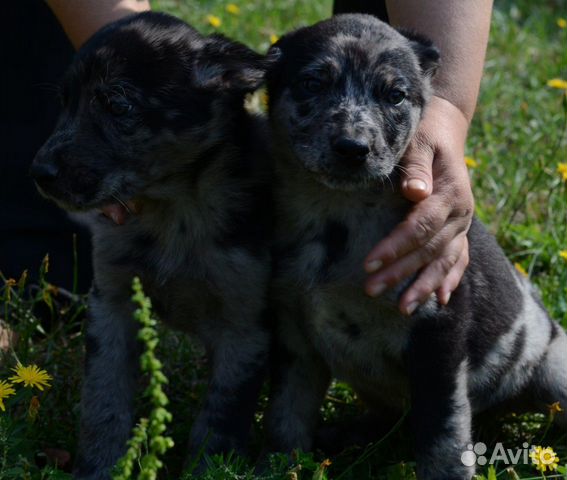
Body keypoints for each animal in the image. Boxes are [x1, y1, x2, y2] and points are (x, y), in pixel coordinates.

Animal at [31, 12, 276, 480]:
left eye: (118, 105)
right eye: (65, 102)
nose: (40, 173)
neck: (173, 210)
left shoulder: (246, 328)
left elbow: (218, 421)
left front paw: (205, 470)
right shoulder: (111, 303)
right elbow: (103, 401)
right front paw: (99, 467)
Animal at [266, 13, 567, 478]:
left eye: (394, 95)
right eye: (312, 83)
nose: (353, 148)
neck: (341, 218)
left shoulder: (437, 333)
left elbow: (443, 432)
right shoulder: (293, 332)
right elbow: (288, 412)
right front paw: (282, 466)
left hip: (555, 371)